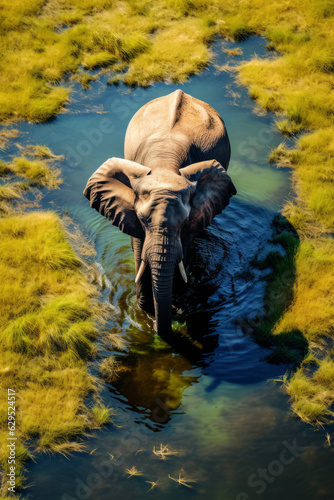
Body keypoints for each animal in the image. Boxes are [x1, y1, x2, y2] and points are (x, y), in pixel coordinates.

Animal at [83, 89, 235, 340]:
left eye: (183, 222)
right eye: (143, 220)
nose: (156, 327)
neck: (165, 164)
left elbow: (184, 246)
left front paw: (177, 306)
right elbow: (138, 248)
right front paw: (144, 312)